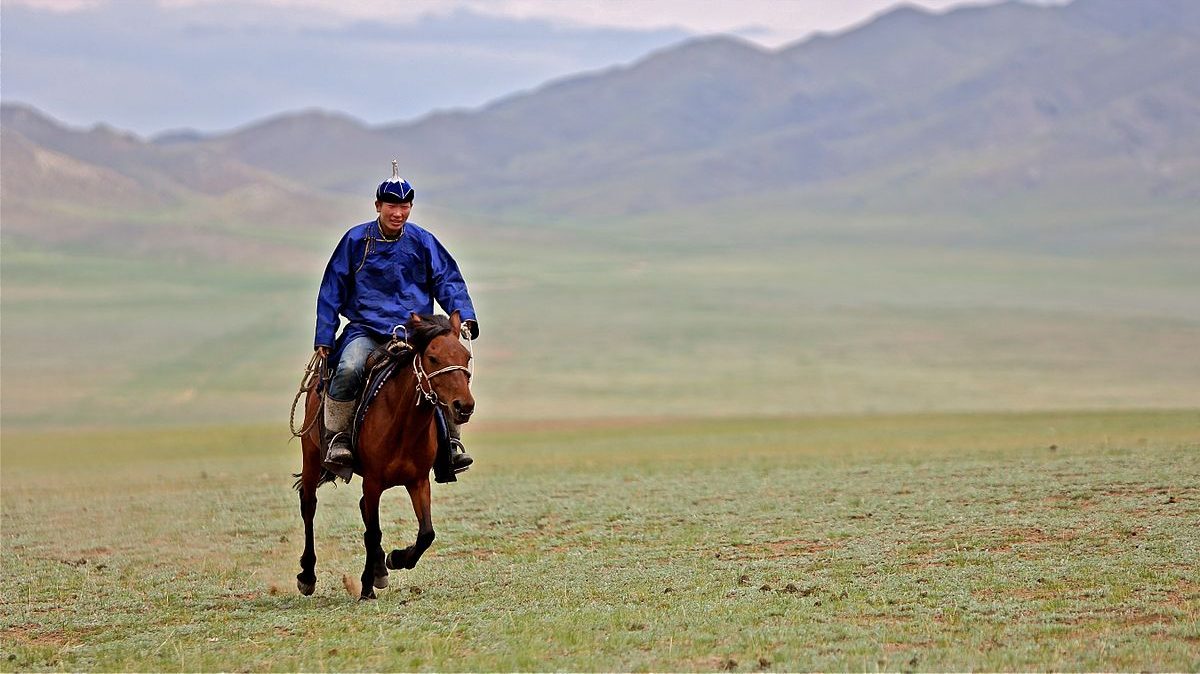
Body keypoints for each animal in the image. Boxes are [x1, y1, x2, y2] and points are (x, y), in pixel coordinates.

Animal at [292, 309, 475, 597]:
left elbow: (426, 533)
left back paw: (380, 570)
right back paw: (307, 575)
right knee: (309, 505)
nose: (464, 406)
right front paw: (366, 587)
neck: (403, 425)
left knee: (362, 508)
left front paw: (396, 559)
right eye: (433, 357)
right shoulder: (373, 481)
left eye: (465, 357)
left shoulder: (418, 481)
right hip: (311, 457)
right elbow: (373, 532)